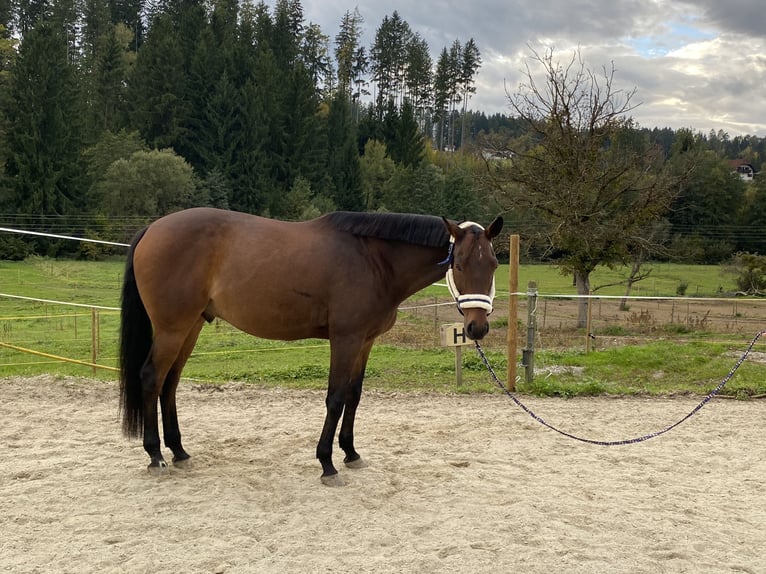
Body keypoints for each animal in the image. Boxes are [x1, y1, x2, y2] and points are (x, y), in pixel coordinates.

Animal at [119, 207, 503, 486]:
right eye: (458, 264)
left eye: (494, 263)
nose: (477, 327)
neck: (374, 259)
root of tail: (152, 228)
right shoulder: (345, 339)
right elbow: (335, 398)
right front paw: (327, 463)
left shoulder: (365, 341)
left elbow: (354, 395)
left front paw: (350, 452)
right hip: (172, 328)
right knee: (152, 377)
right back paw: (155, 455)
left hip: (191, 327)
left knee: (170, 383)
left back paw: (179, 451)